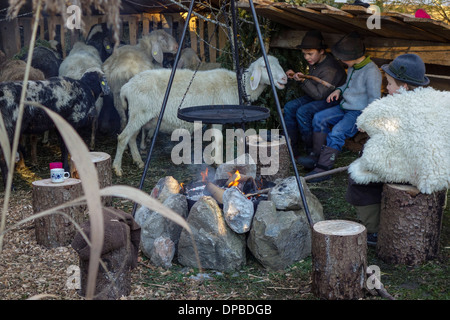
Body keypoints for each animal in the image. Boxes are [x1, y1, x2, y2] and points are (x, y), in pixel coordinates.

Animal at [113, 54, 288, 176]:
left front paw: (212, 159)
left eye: (279, 63)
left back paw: (138, 161)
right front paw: (218, 162)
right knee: (123, 137)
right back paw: (117, 168)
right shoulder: (219, 115)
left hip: (140, 115)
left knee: (132, 138)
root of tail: (127, 86)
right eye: (265, 66)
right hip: (139, 113)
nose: (285, 78)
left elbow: (213, 139)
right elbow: (219, 139)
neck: (237, 86)